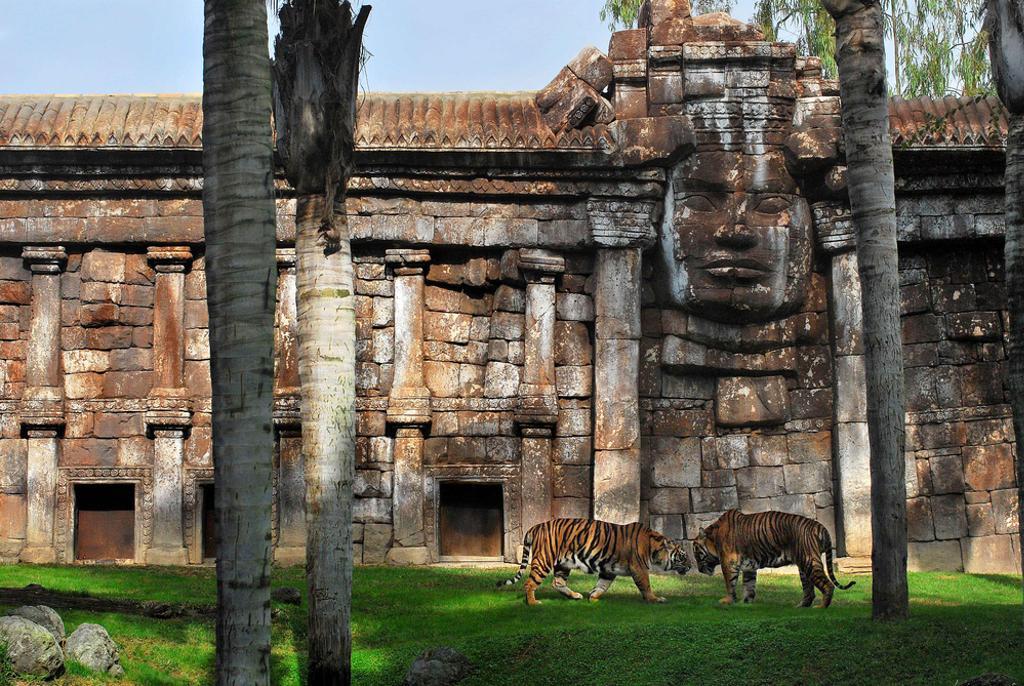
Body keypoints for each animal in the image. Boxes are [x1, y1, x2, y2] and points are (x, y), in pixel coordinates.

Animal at [497, 518, 691, 606]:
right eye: (683, 556)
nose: (690, 566)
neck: (654, 547)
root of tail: (535, 526)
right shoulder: (639, 568)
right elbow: (646, 585)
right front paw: (655, 599)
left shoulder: (609, 569)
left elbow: (602, 585)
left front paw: (593, 597)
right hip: (544, 560)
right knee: (529, 583)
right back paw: (533, 603)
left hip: (563, 564)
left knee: (557, 583)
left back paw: (575, 596)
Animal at [693, 509, 855, 608]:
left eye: (696, 553)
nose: (699, 570)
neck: (713, 538)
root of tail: (819, 526)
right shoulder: (749, 566)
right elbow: (749, 585)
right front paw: (745, 603)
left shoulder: (729, 563)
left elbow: (729, 583)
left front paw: (727, 601)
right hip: (803, 566)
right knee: (809, 590)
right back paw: (801, 606)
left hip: (809, 561)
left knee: (828, 585)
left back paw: (821, 607)